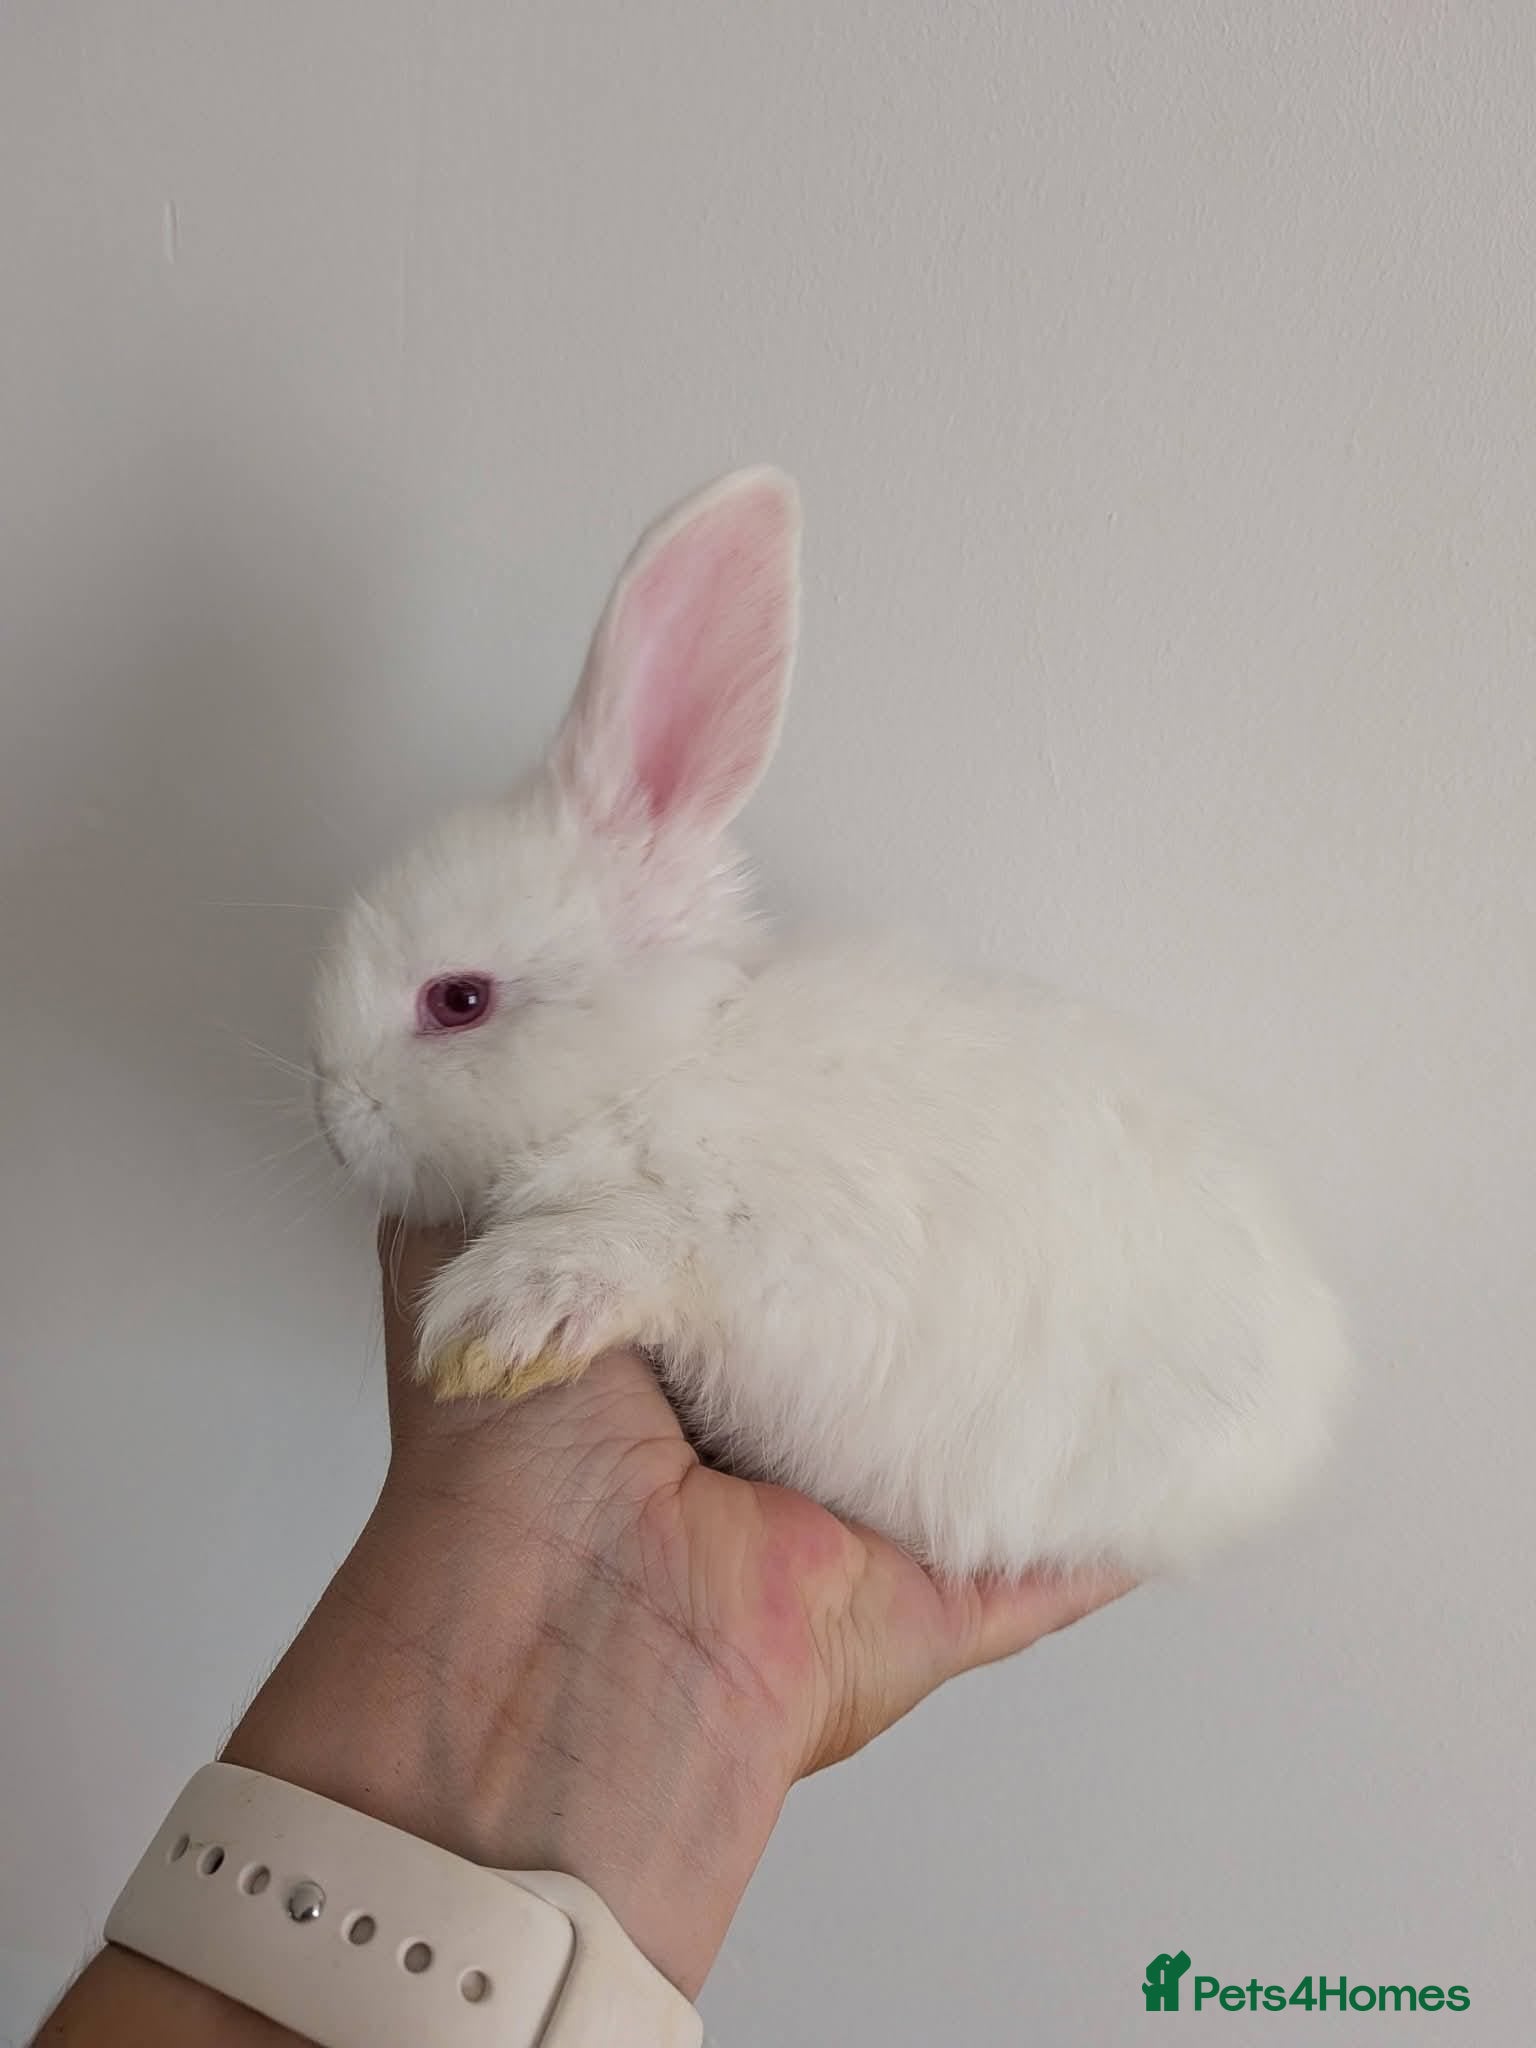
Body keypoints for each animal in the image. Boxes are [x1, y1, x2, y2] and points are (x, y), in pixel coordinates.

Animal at [311, 467, 1349, 1578]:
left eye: (457, 999)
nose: (332, 1121)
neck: (662, 1066)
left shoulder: (781, 1255)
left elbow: (640, 1244)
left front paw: (493, 1325)